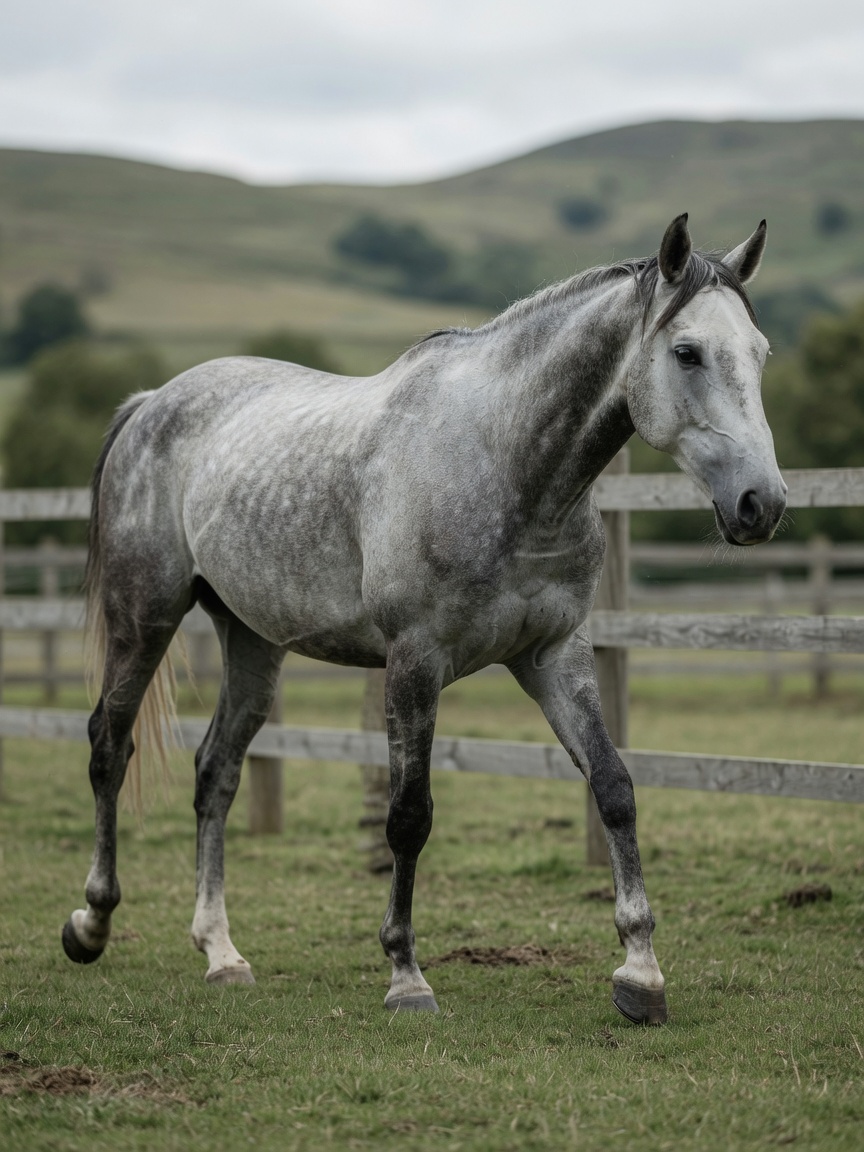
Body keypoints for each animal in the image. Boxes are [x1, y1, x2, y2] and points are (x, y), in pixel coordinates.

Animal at [62, 214, 785, 1025]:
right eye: (687, 352)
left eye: (758, 352)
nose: (762, 503)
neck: (505, 463)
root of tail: (151, 402)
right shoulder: (415, 661)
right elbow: (409, 814)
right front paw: (406, 975)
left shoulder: (554, 656)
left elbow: (614, 789)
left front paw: (641, 973)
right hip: (144, 618)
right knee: (109, 746)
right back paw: (91, 923)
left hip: (251, 641)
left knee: (215, 772)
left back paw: (221, 953)